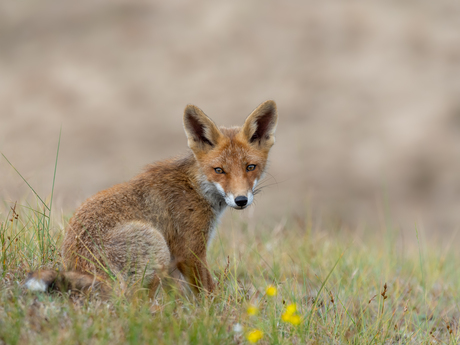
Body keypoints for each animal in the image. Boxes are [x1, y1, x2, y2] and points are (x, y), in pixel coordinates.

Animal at [27, 99, 278, 296]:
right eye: (219, 170)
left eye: (250, 167)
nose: (241, 200)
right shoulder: (190, 251)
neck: (195, 187)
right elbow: (209, 292)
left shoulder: (182, 258)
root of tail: (84, 268)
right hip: (157, 247)